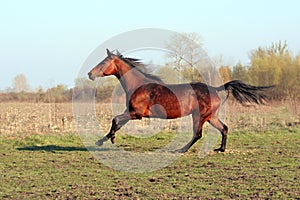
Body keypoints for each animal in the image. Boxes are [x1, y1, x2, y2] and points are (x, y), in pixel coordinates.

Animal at [88, 49, 274, 152]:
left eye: (103, 62)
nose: (90, 74)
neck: (139, 85)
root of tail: (216, 89)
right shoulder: (132, 113)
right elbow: (118, 124)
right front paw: (102, 140)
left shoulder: (136, 114)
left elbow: (115, 120)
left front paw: (110, 139)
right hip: (211, 116)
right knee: (224, 128)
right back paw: (220, 149)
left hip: (199, 116)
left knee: (197, 134)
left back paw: (180, 150)